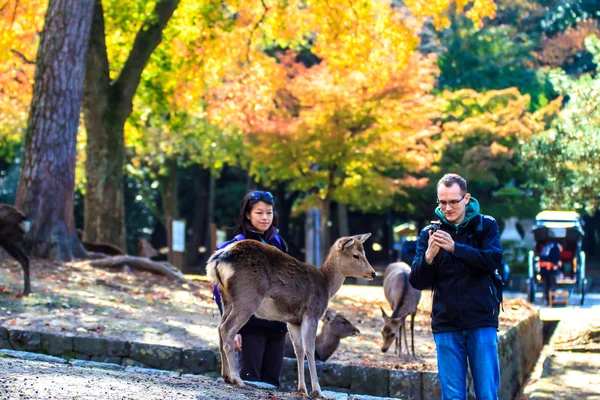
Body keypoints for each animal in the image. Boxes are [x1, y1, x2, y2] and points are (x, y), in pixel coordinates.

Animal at [207, 233, 376, 398]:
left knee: (219, 328)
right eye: (356, 255)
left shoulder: (293, 320)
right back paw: (237, 379)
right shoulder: (312, 313)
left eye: (364, 253)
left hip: (226, 298)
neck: (327, 286)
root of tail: (217, 260)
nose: (373, 273)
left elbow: (299, 350)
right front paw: (318, 391)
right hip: (248, 297)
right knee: (227, 329)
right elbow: (309, 348)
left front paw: (302, 389)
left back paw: (226, 376)